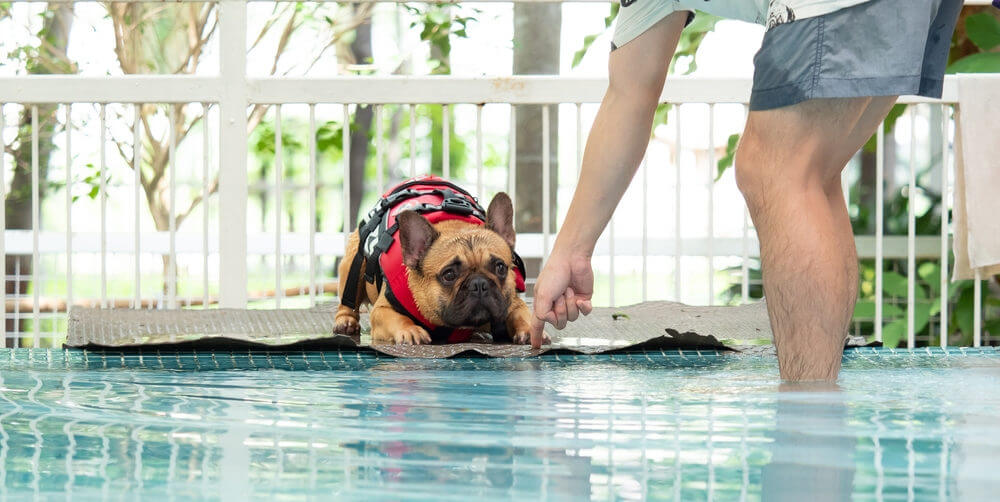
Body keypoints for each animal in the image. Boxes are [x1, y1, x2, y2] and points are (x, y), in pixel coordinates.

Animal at [334, 176, 540, 346]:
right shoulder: (382, 310)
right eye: (449, 275)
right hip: (353, 263)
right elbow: (397, 318)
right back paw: (346, 321)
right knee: (347, 301)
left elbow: (521, 313)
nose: (479, 284)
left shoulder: (510, 303)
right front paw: (410, 330)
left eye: (500, 267)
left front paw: (529, 329)